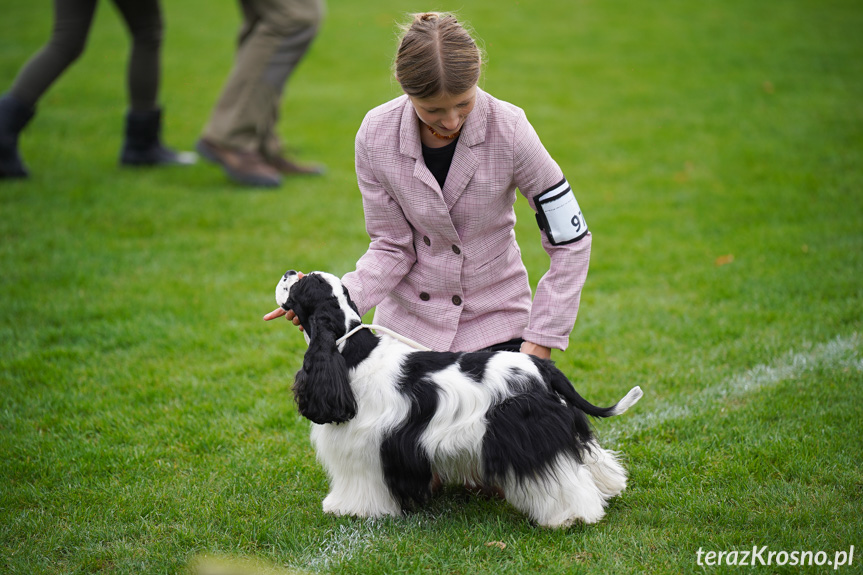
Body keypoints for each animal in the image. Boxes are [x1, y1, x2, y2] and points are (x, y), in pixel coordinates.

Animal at [276, 272, 640, 528]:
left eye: (302, 284)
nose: (289, 272)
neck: (350, 350)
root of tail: (541, 366)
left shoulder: (363, 447)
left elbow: (359, 485)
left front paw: (348, 509)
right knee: (588, 456)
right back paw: (610, 486)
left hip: (530, 436)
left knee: (561, 477)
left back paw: (572, 516)